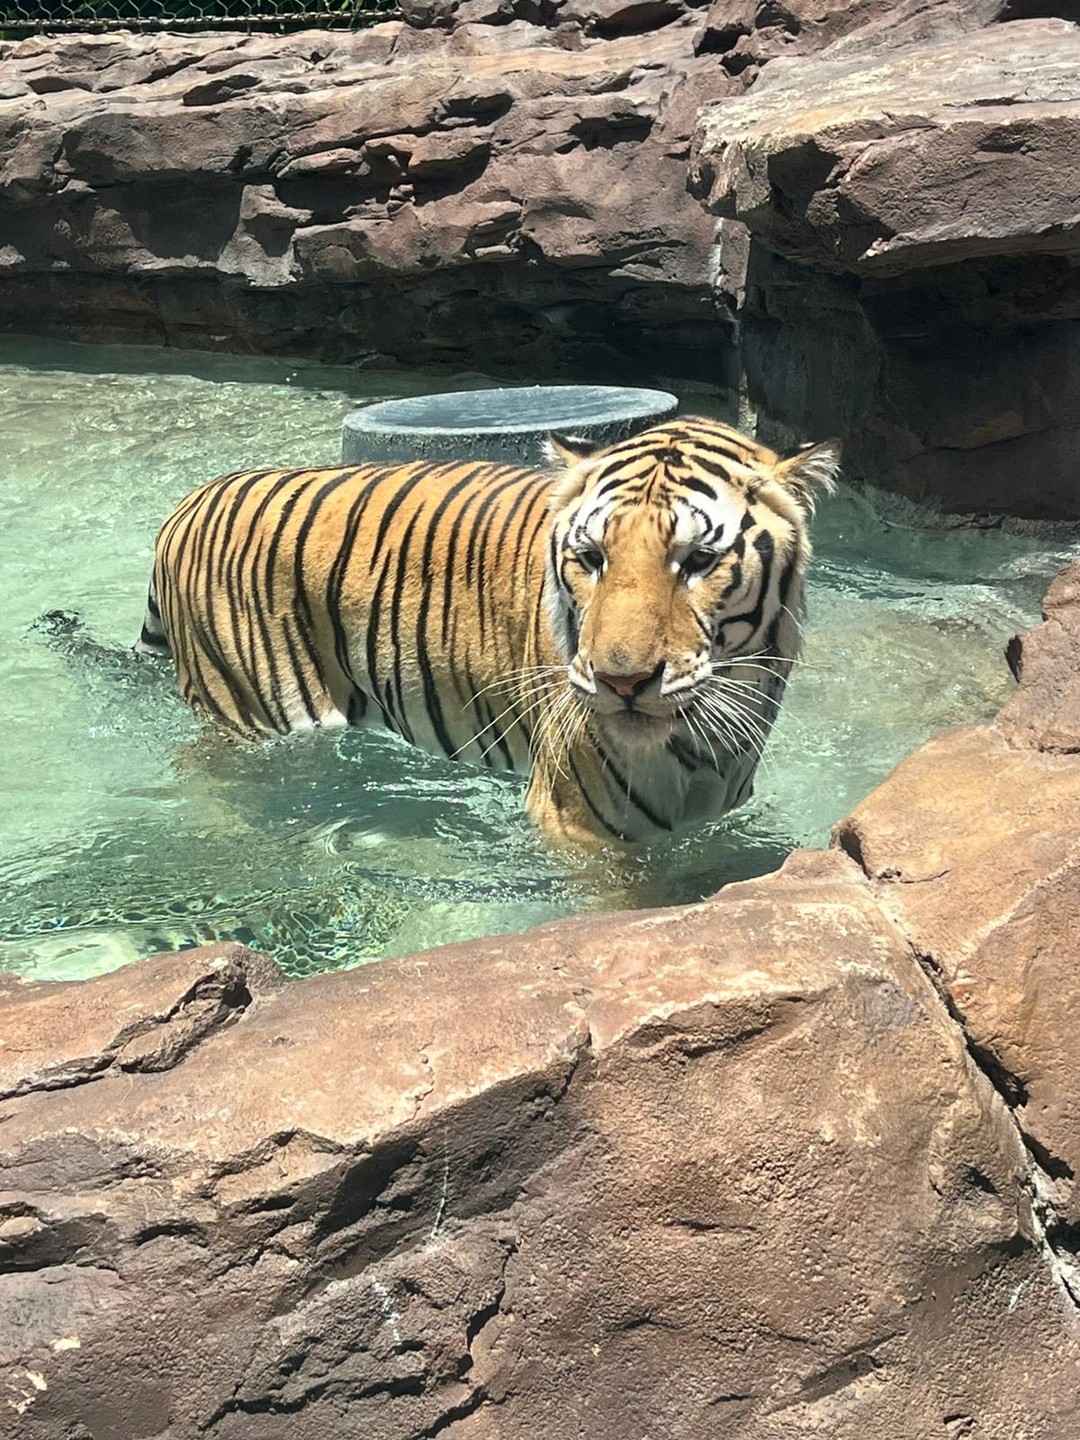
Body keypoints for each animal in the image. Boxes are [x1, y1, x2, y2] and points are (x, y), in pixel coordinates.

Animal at [137, 415, 839, 846]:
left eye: (697, 561)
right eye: (591, 558)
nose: (621, 682)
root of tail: (188, 503)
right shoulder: (576, 823)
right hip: (251, 721)